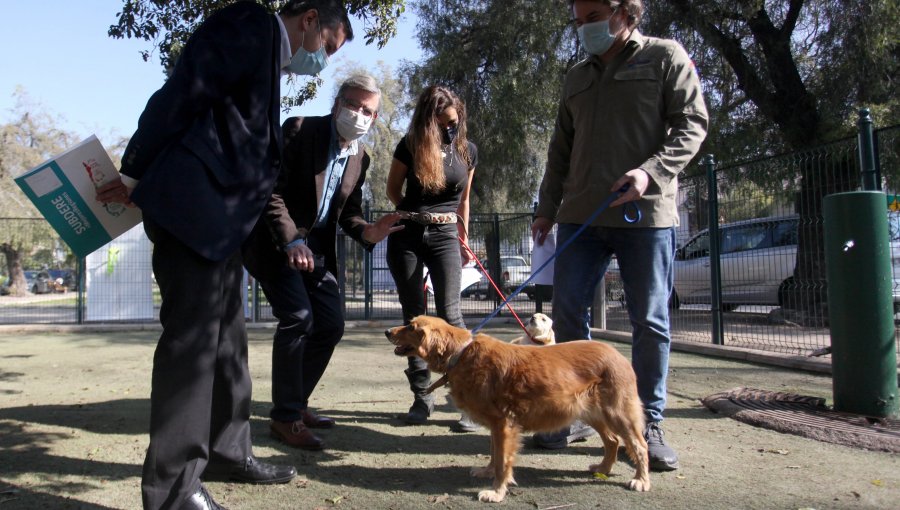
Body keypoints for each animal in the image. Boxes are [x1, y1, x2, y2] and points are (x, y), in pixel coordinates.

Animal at [384, 314, 652, 502]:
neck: (462, 354)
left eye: (411, 327)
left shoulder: (504, 424)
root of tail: (617, 353)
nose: (387, 331)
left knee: (639, 445)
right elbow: (494, 454)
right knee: (613, 441)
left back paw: (641, 480)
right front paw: (487, 472)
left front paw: (496, 492)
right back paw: (603, 468)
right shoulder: (496, 425)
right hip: (593, 412)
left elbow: (503, 460)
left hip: (619, 413)